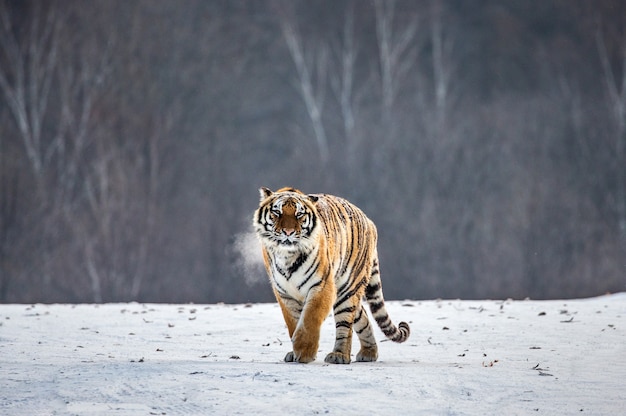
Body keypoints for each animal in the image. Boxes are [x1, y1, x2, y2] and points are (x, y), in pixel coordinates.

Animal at [254, 186, 410, 364]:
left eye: (299, 214)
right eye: (277, 212)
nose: (288, 232)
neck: (287, 256)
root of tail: (369, 221)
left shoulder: (322, 285)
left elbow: (309, 319)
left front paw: (304, 351)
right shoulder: (284, 293)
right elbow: (294, 322)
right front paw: (295, 352)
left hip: (347, 290)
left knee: (345, 326)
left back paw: (339, 355)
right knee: (362, 316)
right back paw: (369, 352)